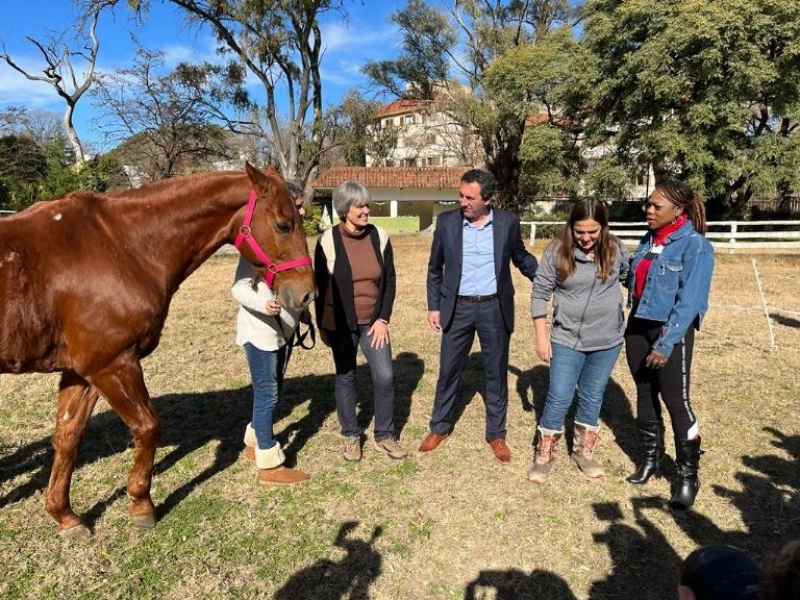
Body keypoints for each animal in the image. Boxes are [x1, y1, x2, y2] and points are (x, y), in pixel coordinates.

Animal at [0, 162, 316, 536]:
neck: (121, 245)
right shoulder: (113, 365)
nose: (307, 293)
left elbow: (67, 437)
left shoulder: (82, 371)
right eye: (283, 224)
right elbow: (148, 427)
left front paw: (65, 515)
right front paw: (141, 504)